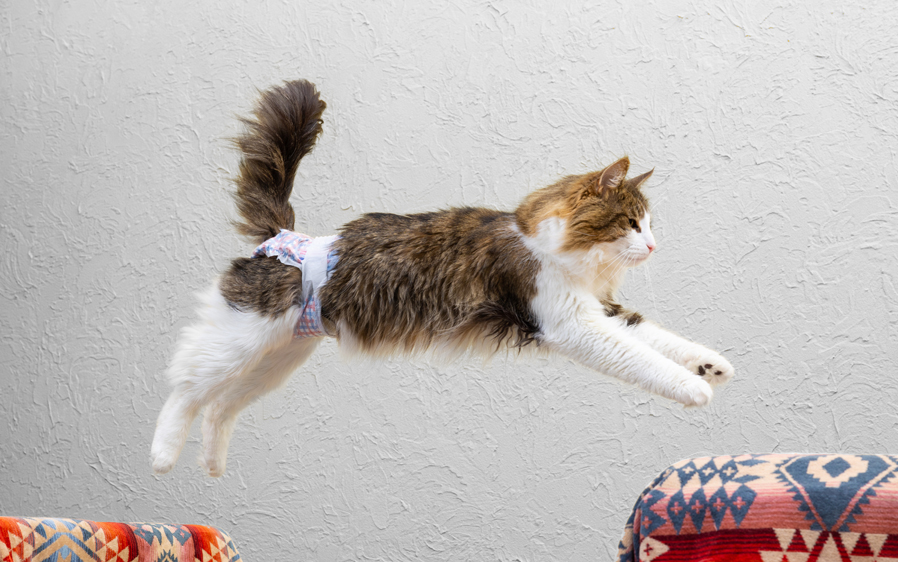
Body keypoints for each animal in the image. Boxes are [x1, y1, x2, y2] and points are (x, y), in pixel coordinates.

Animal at [149, 79, 736, 474]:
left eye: (649, 224)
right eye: (633, 223)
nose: (655, 245)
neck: (548, 244)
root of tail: (281, 239)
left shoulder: (602, 309)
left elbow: (659, 337)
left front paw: (710, 365)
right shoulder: (570, 323)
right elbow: (641, 358)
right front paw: (692, 388)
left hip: (278, 359)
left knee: (220, 406)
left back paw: (212, 465)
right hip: (239, 340)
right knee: (186, 387)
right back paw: (162, 455)